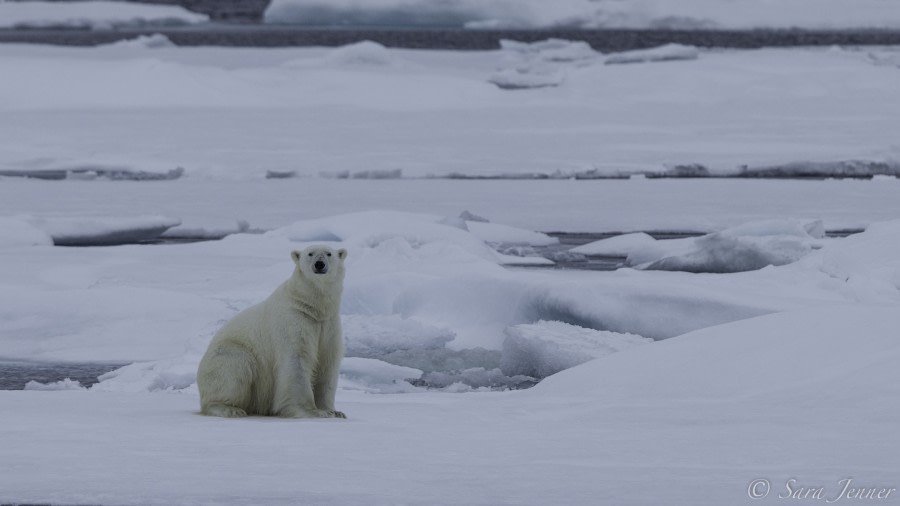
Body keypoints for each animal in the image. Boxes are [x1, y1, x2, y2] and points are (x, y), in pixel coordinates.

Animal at [197, 246, 348, 420]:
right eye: (310, 253)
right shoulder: (294, 320)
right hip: (229, 355)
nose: (319, 264)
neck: (312, 306)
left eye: (329, 253)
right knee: (235, 369)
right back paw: (229, 409)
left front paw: (334, 411)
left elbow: (327, 363)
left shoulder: (328, 325)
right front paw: (312, 411)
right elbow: (297, 359)